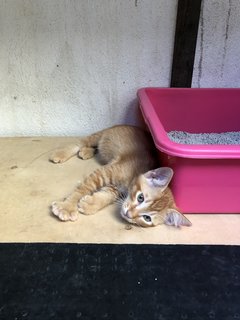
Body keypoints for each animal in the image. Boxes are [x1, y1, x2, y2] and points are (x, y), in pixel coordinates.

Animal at [49, 125, 191, 228]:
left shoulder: (114, 187)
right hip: (100, 135)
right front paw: (67, 207)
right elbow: (84, 188)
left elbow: (106, 195)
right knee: (80, 142)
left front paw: (91, 204)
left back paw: (86, 151)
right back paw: (62, 153)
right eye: (140, 198)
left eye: (147, 218)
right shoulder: (105, 172)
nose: (129, 214)